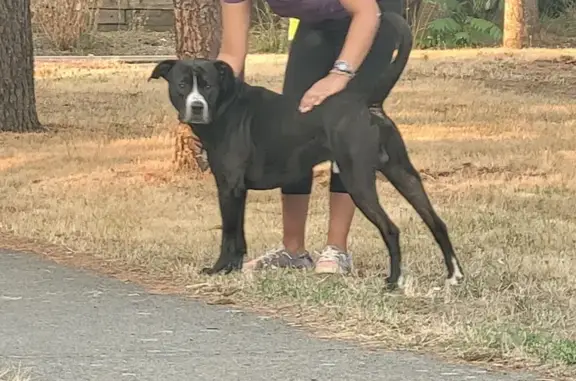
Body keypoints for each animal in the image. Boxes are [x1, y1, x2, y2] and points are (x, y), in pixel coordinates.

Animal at [148, 14, 464, 288]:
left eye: (208, 86)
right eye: (182, 84)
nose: (196, 106)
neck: (226, 105)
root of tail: (368, 101)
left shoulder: (230, 187)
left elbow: (229, 234)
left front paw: (219, 269)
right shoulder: (238, 191)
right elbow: (240, 237)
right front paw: (234, 268)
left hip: (357, 178)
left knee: (391, 228)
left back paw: (393, 281)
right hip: (403, 173)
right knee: (437, 222)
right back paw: (454, 276)